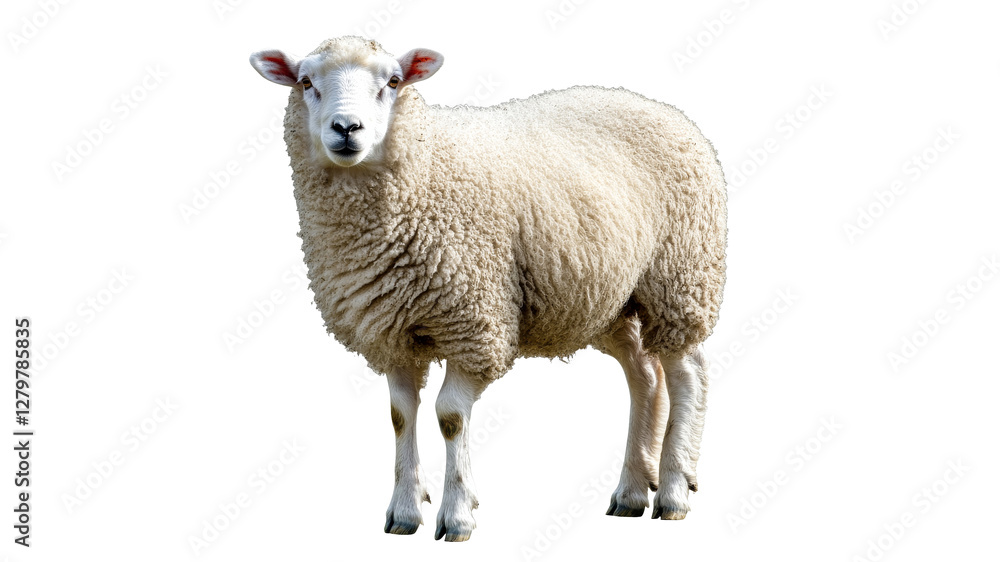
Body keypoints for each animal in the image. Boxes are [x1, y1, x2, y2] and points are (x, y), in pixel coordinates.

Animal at [249, 36, 727, 541]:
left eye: (393, 82)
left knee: (687, 375)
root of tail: (657, 105)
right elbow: (401, 415)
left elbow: (450, 416)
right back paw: (632, 493)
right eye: (306, 82)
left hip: (680, 280)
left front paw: (458, 515)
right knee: (644, 376)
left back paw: (673, 491)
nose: (346, 128)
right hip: (609, 297)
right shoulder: (392, 331)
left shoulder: (474, 322)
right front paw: (404, 511)